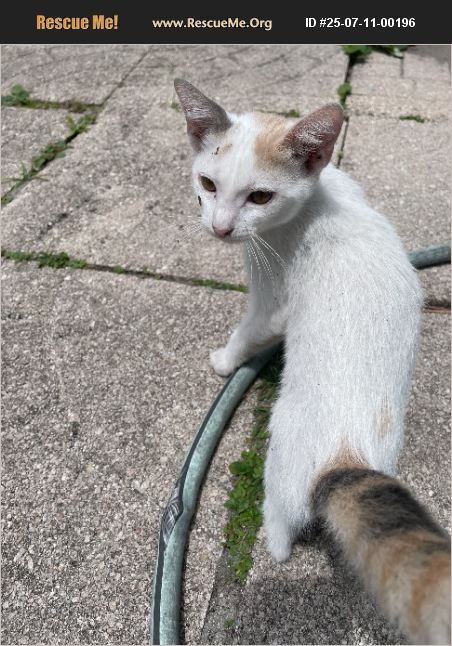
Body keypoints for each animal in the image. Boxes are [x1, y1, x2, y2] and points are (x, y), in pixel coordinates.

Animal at [174, 78, 451, 645]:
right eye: (207, 183)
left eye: (260, 196)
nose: (220, 228)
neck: (321, 200)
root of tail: (346, 456)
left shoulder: (271, 298)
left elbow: (248, 330)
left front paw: (224, 361)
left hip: (280, 461)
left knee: (281, 527)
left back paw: (274, 546)